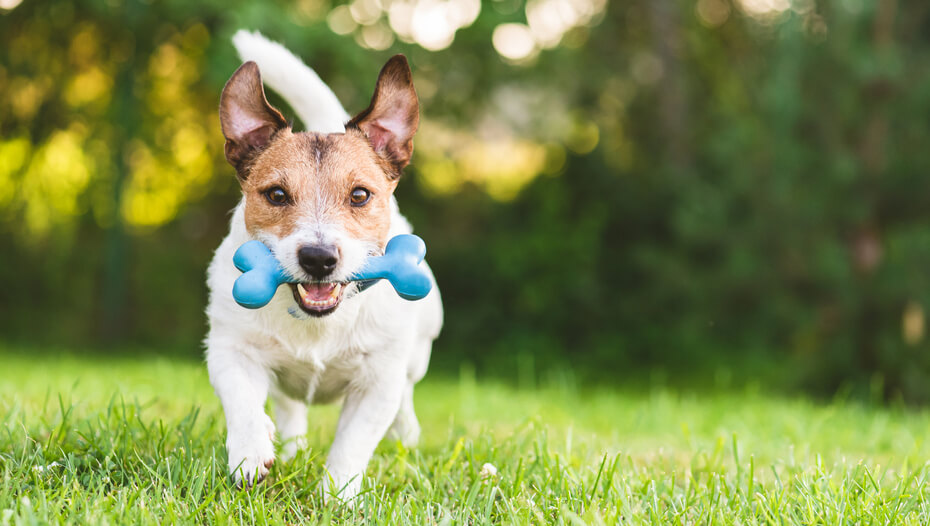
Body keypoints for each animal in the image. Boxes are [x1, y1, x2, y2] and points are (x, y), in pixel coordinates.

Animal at [206, 31, 442, 502]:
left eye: (360, 195)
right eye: (277, 195)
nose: (318, 258)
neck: (317, 323)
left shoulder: (377, 382)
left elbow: (353, 441)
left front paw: (338, 495)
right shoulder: (228, 348)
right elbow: (242, 400)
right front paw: (250, 451)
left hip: (418, 351)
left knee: (407, 394)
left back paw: (405, 435)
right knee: (289, 405)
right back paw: (289, 445)